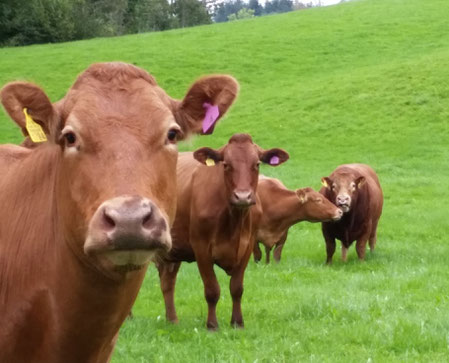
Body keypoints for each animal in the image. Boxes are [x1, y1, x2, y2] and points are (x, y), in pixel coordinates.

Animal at [156, 135, 288, 332]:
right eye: (226, 165)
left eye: (257, 164)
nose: (243, 196)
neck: (234, 222)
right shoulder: (201, 248)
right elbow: (212, 289)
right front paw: (212, 325)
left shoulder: (247, 247)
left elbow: (237, 288)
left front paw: (237, 322)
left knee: (167, 283)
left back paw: (172, 320)